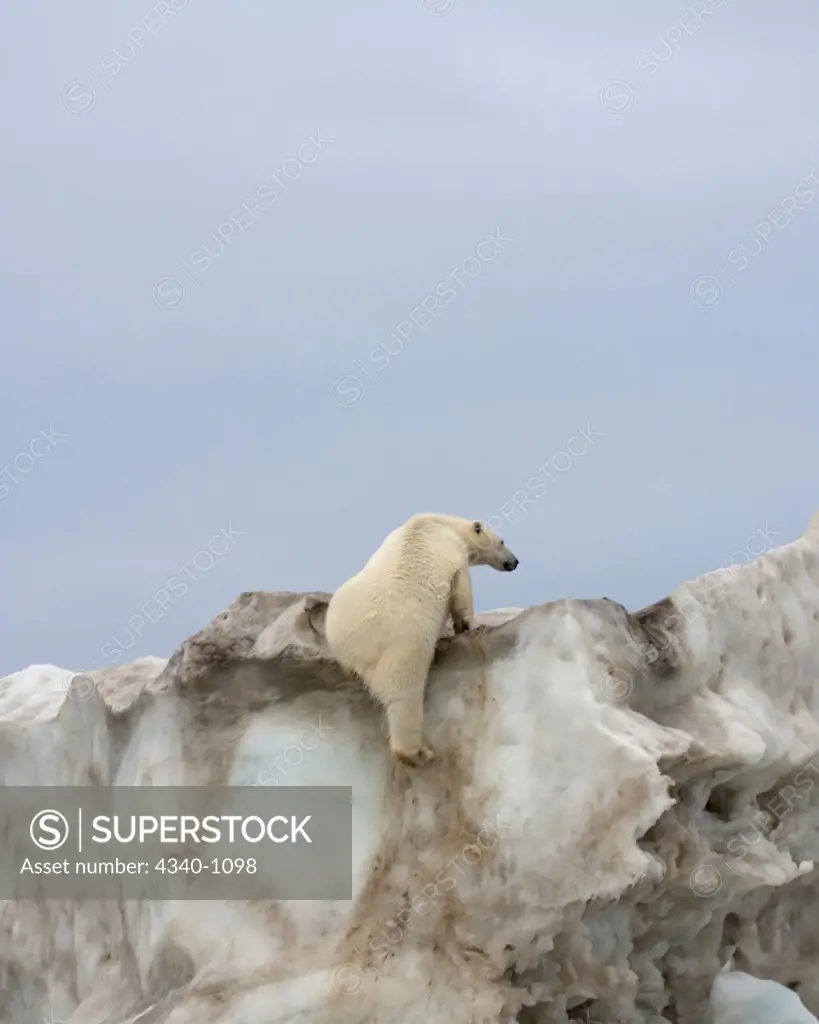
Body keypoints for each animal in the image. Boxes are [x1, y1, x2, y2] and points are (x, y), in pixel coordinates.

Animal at [325, 516, 518, 765]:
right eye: (502, 541)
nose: (514, 562)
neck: (440, 523)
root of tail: (358, 645)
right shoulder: (453, 554)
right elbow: (461, 590)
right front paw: (469, 625)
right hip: (406, 642)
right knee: (406, 695)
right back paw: (417, 753)